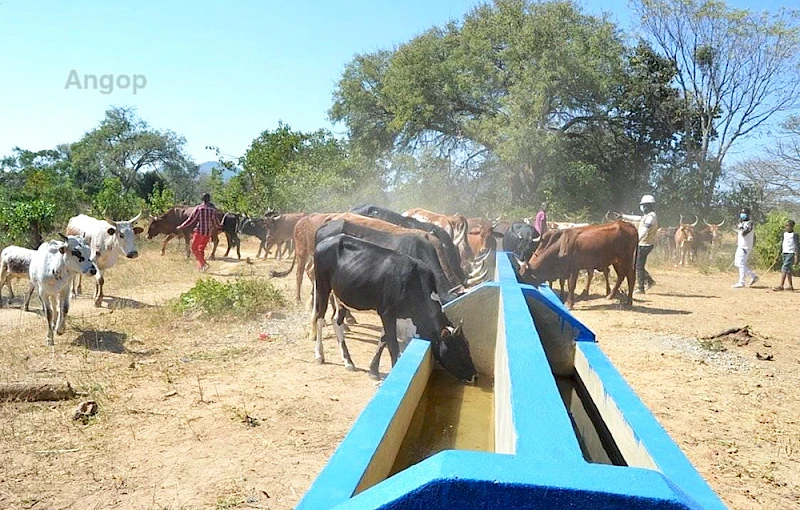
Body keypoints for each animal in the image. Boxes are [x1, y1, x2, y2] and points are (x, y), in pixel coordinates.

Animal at [310, 235, 476, 382]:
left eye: (468, 346)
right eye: (459, 350)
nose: (475, 376)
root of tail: (326, 241)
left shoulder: (395, 317)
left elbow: (383, 339)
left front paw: (373, 371)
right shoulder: (387, 313)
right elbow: (392, 345)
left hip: (343, 297)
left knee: (336, 321)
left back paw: (348, 362)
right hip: (322, 286)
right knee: (319, 317)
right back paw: (319, 355)